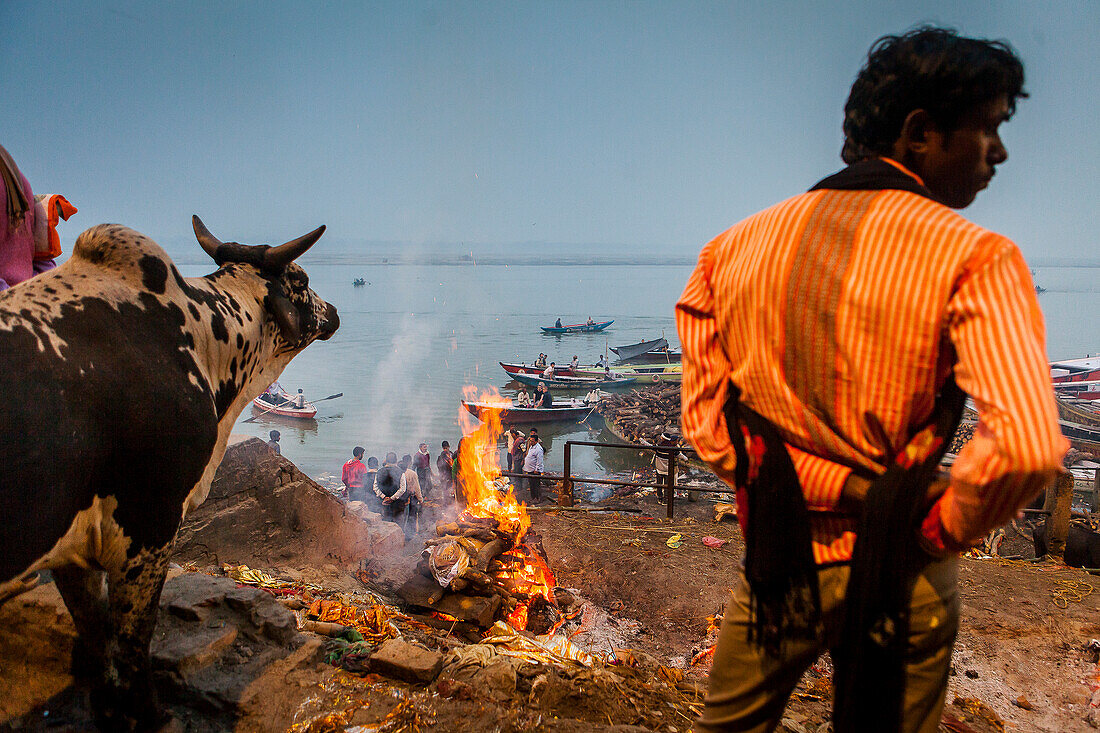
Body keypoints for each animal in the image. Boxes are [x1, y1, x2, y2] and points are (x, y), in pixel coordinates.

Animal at [0, 214, 338, 726]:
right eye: (299, 280)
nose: (334, 311)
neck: (203, 339)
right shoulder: (149, 523)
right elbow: (133, 642)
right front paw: (152, 715)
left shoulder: (72, 547)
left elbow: (99, 641)